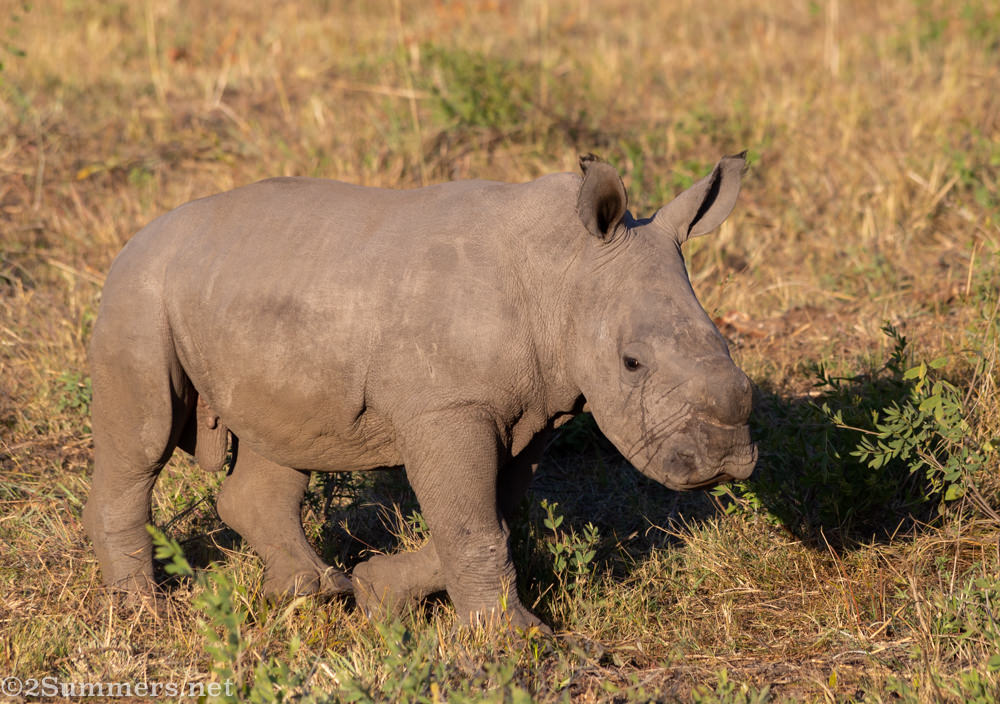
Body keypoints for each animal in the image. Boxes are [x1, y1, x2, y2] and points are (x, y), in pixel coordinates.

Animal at [82, 153, 756, 631]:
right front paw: (515, 642)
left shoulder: (534, 412)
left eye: (727, 346)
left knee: (283, 445)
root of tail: (138, 235)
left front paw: (378, 594)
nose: (723, 462)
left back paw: (316, 593)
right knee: (144, 440)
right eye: (631, 362)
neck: (564, 268)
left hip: (249, 294)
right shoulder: (450, 408)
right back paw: (147, 613)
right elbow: (474, 525)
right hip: (139, 289)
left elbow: (490, 516)